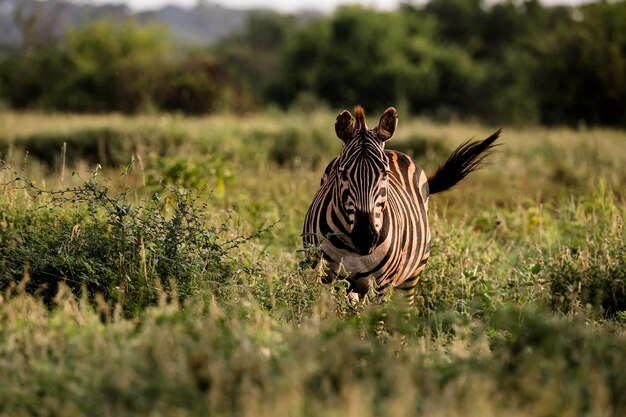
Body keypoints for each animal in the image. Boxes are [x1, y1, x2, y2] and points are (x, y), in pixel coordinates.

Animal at [302, 105, 498, 302]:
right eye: (342, 174)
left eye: (385, 173)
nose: (365, 238)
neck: (352, 248)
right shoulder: (328, 280)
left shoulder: (380, 286)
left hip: (412, 275)